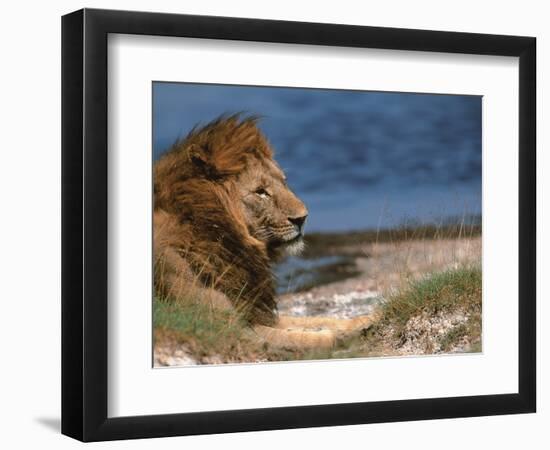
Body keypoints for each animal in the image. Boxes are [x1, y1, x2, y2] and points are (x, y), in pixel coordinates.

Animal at [153, 113, 374, 348]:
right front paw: (339, 337)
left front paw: (364, 321)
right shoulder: (224, 328)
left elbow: (315, 320)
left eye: (283, 182)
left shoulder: (256, 312)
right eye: (260, 192)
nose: (303, 218)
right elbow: (303, 337)